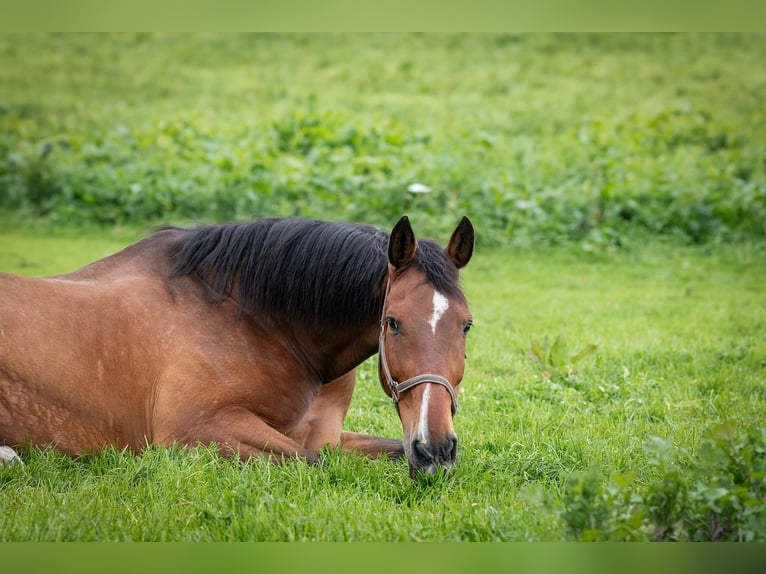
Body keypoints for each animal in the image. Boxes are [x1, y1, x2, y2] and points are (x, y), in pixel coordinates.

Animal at [0, 215, 474, 478]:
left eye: (466, 325)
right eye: (393, 323)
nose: (435, 450)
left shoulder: (328, 437)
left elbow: (377, 450)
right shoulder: (198, 431)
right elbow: (313, 463)